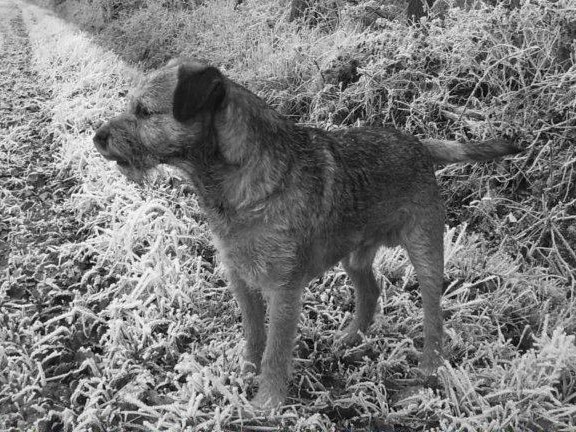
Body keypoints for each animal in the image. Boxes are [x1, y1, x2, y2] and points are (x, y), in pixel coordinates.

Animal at [93, 59, 520, 410]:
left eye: (144, 112)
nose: (97, 136)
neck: (240, 181)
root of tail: (418, 143)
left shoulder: (284, 289)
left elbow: (276, 350)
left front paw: (266, 403)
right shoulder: (241, 278)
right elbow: (253, 334)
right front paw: (245, 374)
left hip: (426, 249)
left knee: (434, 312)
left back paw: (431, 366)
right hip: (354, 253)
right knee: (371, 289)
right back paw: (352, 337)